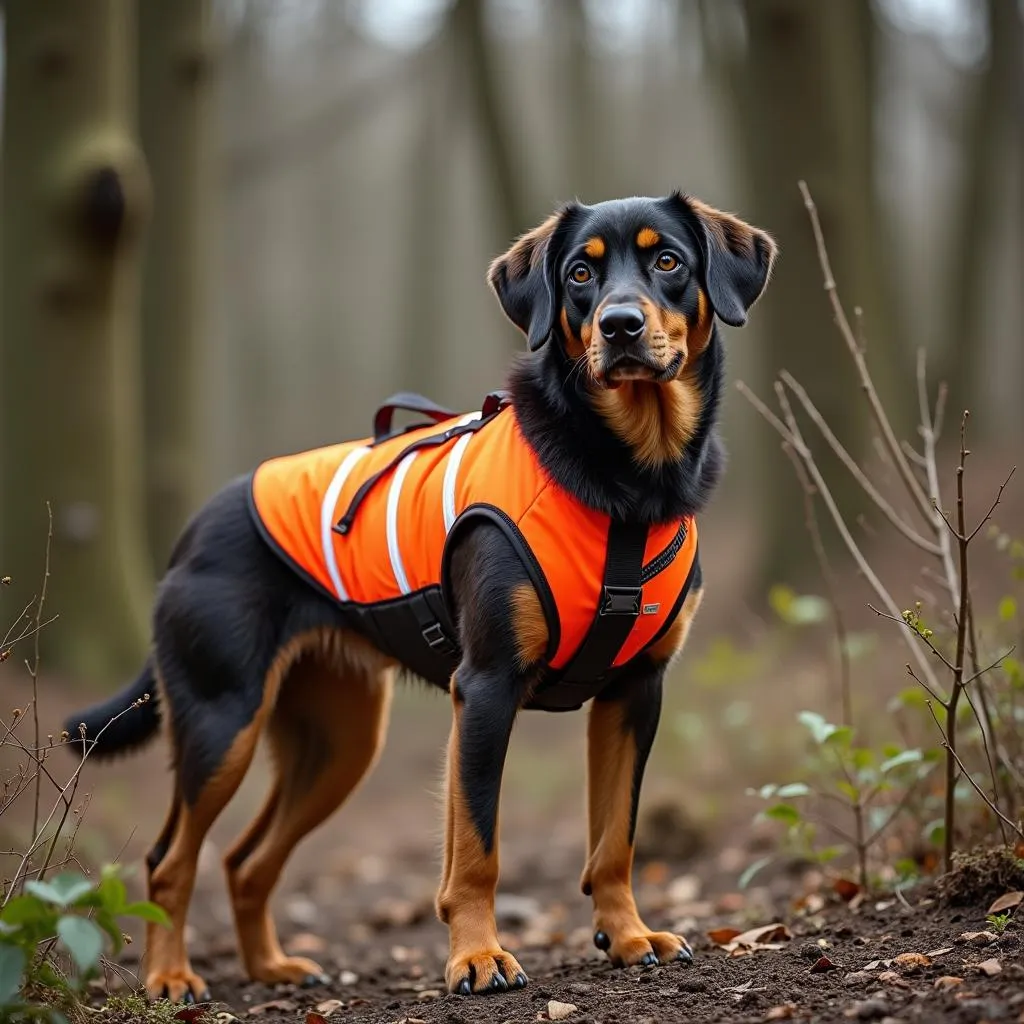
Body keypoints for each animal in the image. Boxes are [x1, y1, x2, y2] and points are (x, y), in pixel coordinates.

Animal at [70, 192, 774, 999]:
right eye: (579, 272)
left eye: (669, 262)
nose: (619, 324)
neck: (626, 479)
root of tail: (189, 534)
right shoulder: (488, 686)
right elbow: (478, 850)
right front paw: (478, 957)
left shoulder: (635, 691)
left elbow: (615, 841)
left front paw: (628, 936)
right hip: (223, 720)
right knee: (170, 861)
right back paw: (170, 976)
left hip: (338, 740)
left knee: (246, 861)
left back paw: (272, 967)